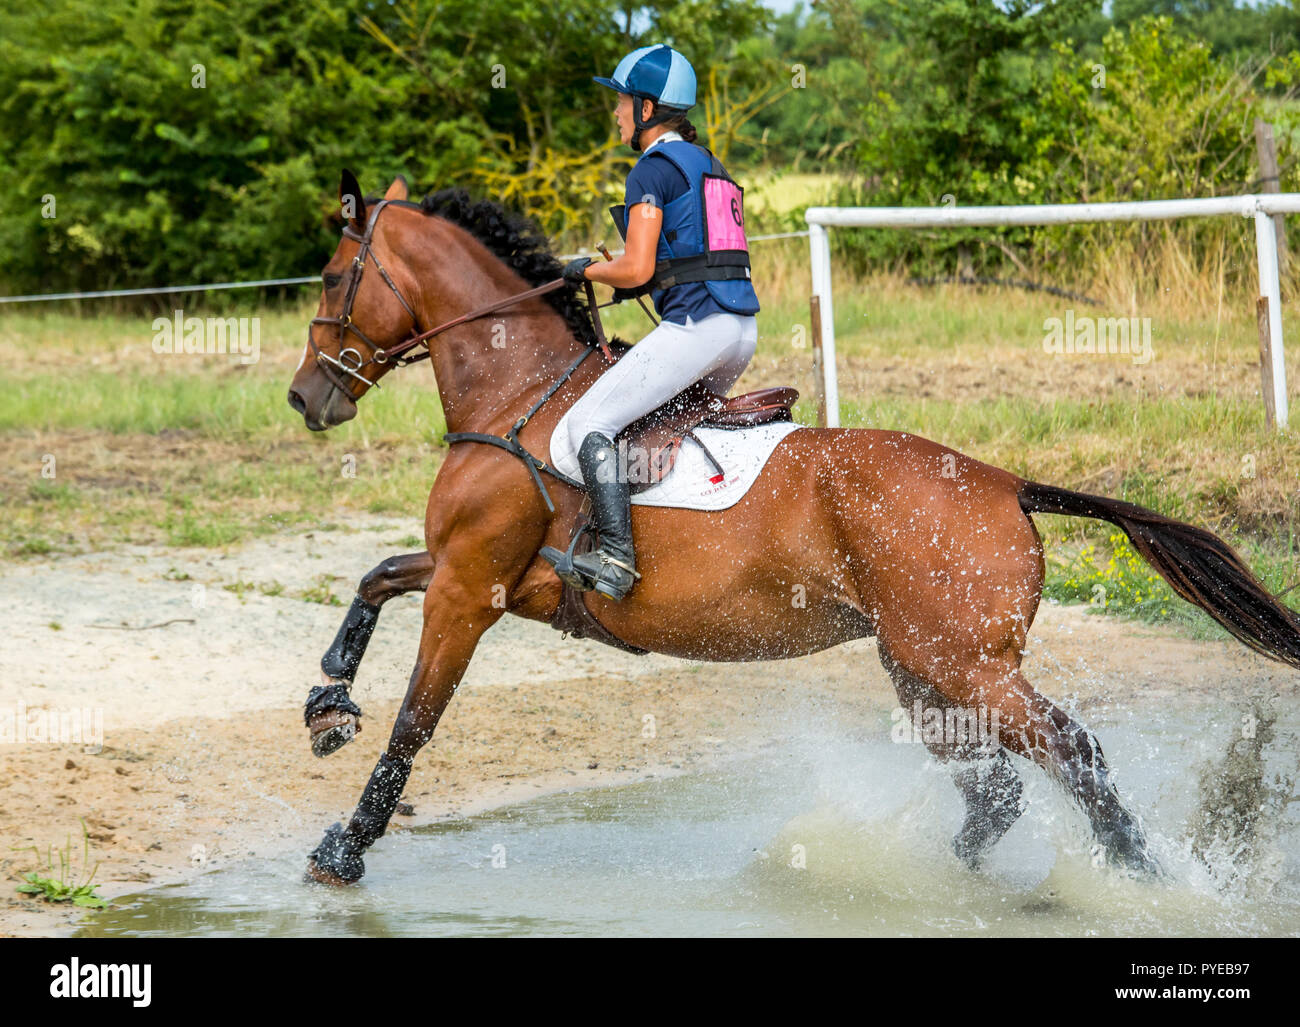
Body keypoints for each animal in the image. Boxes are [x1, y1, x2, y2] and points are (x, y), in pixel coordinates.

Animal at [288, 171, 1300, 885]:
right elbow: (377, 575)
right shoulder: (475, 571)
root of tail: (1006, 483)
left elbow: (415, 723)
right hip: (924, 665)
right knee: (1000, 787)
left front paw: (345, 847)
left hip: (966, 664)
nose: (307, 398)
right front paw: (328, 698)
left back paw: (1142, 878)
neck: (515, 391)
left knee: (1072, 753)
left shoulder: (470, 589)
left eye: (335, 277)